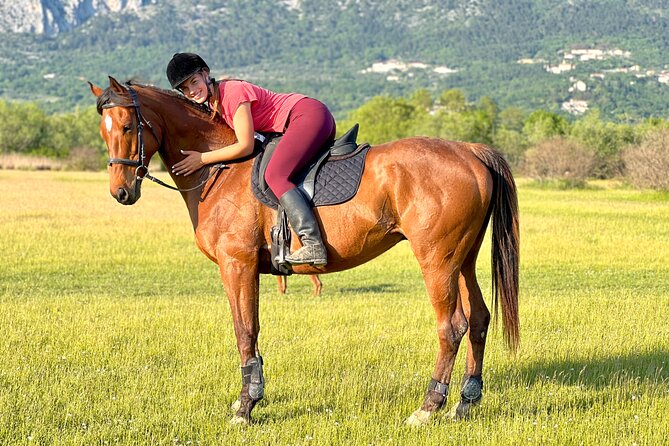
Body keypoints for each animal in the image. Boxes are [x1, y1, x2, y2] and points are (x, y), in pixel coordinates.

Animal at [89, 77, 519, 426]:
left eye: (126, 126)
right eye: (102, 131)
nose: (120, 193)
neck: (220, 171)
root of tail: (469, 151)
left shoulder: (237, 263)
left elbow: (245, 331)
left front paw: (246, 406)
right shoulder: (243, 268)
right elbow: (249, 330)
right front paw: (249, 397)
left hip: (436, 260)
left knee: (453, 326)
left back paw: (428, 408)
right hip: (462, 258)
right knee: (479, 319)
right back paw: (464, 403)